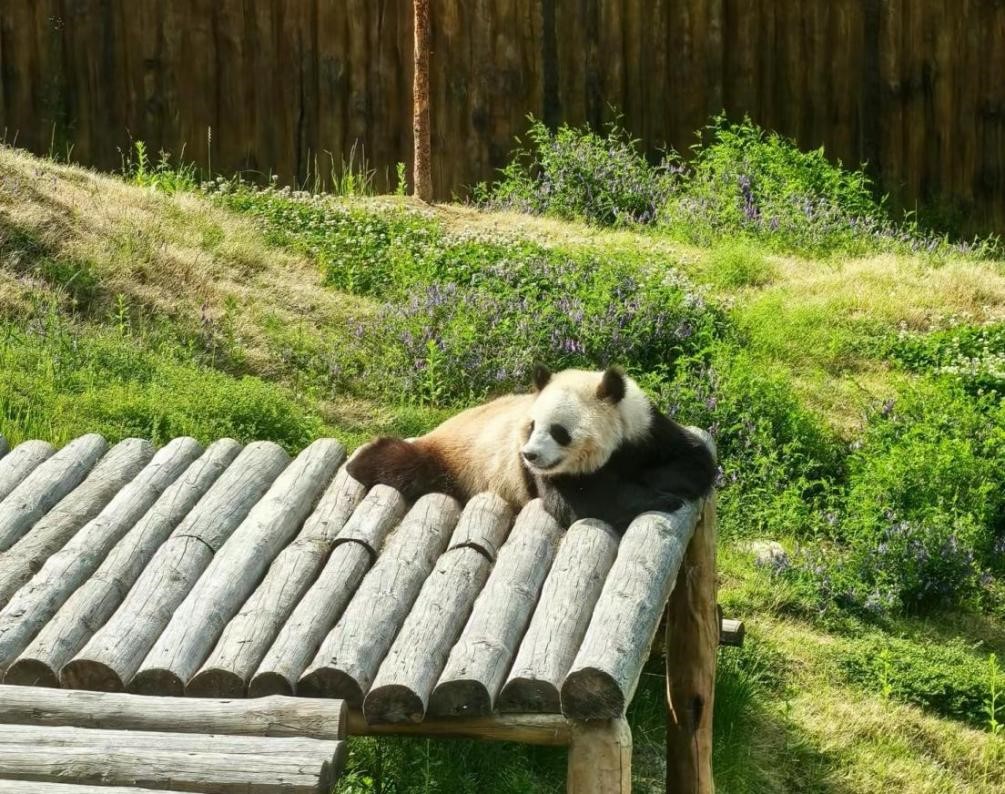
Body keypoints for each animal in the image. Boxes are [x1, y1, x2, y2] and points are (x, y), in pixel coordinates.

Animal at [349, 367, 719, 534]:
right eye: (531, 425)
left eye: (558, 431)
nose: (530, 455)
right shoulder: (543, 477)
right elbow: (584, 504)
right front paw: (657, 498)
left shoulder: (645, 429)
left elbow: (693, 459)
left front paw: (655, 483)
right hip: (458, 459)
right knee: (406, 464)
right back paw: (361, 461)